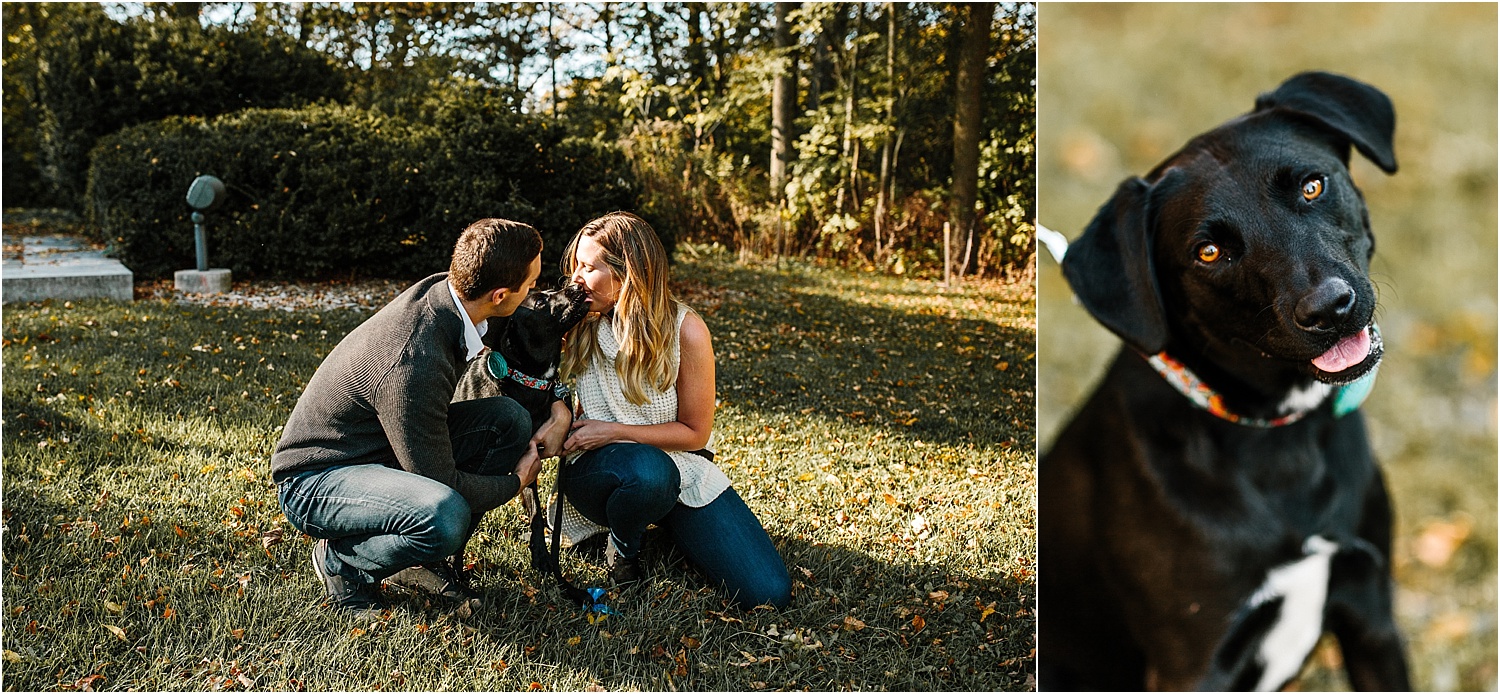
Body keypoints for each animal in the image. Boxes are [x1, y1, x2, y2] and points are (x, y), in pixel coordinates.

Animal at [1038, 73, 1410, 692]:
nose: (1329, 308)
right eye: (1209, 252)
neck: (1277, 440)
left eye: (1312, 186)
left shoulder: (1373, 617)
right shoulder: (1194, 663)